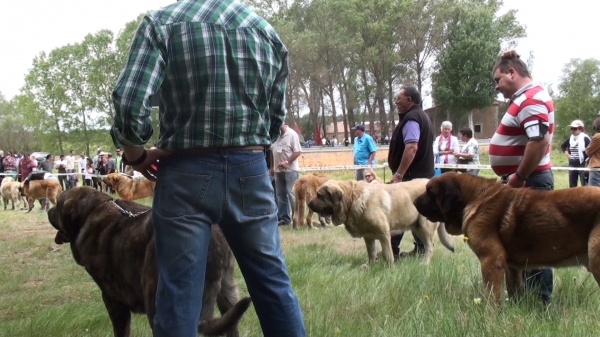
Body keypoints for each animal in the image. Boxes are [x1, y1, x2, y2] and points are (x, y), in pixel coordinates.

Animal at [308, 178, 452, 266]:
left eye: (319, 195)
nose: (308, 204)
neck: (352, 198)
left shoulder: (384, 234)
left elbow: (388, 254)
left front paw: (390, 269)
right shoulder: (368, 237)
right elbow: (371, 252)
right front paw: (370, 266)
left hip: (424, 227)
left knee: (430, 247)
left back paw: (425, 263)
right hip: (416, 227)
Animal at [414, 172, 600, 300]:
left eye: (430, 192)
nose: (414, 201)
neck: (474, 198)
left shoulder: (491, 260)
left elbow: (491, 296)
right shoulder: (512, 268)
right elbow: (513, 293)